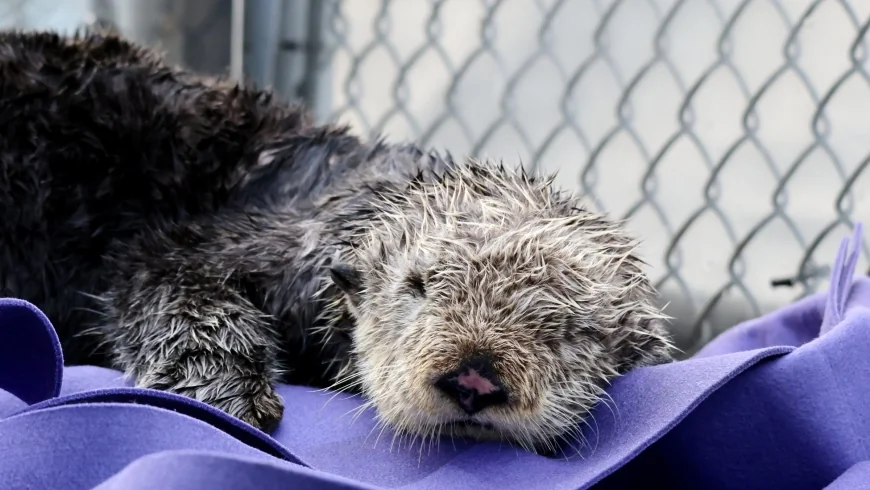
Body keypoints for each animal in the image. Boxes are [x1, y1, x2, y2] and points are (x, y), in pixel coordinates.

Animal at [0, 29, 674, 454]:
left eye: (575, 330)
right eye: (416, 287)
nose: (475, 378)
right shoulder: (245, 240)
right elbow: (169, 279)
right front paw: (226, 393)